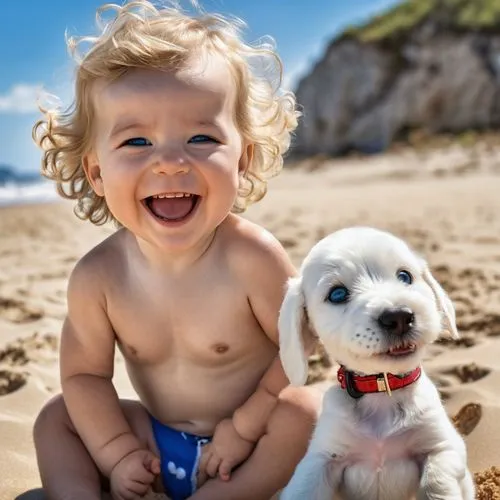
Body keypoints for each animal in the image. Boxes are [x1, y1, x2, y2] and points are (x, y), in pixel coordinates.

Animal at [280, 228, 474, 500]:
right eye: (337, 294)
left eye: (405, 276)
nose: (399, 317)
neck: (383, 392)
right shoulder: (321, 458)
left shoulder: (443, 446)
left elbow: (437, 483)